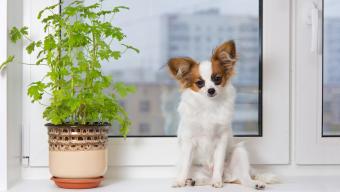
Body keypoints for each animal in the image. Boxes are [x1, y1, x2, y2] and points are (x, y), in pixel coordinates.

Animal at [167, 40, 276, 189]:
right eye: (200, 83)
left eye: (217, 79)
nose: (211, 90)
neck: (209, 105)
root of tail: (228, 176)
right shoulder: (189, 142)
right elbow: (185, 165)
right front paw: (180, 181)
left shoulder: (221, 140)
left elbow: (218, 164)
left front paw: (217, 181)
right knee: (207, 177)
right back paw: (192, 181)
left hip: (239, 152)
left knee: (243, 178)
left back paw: (253, 183)